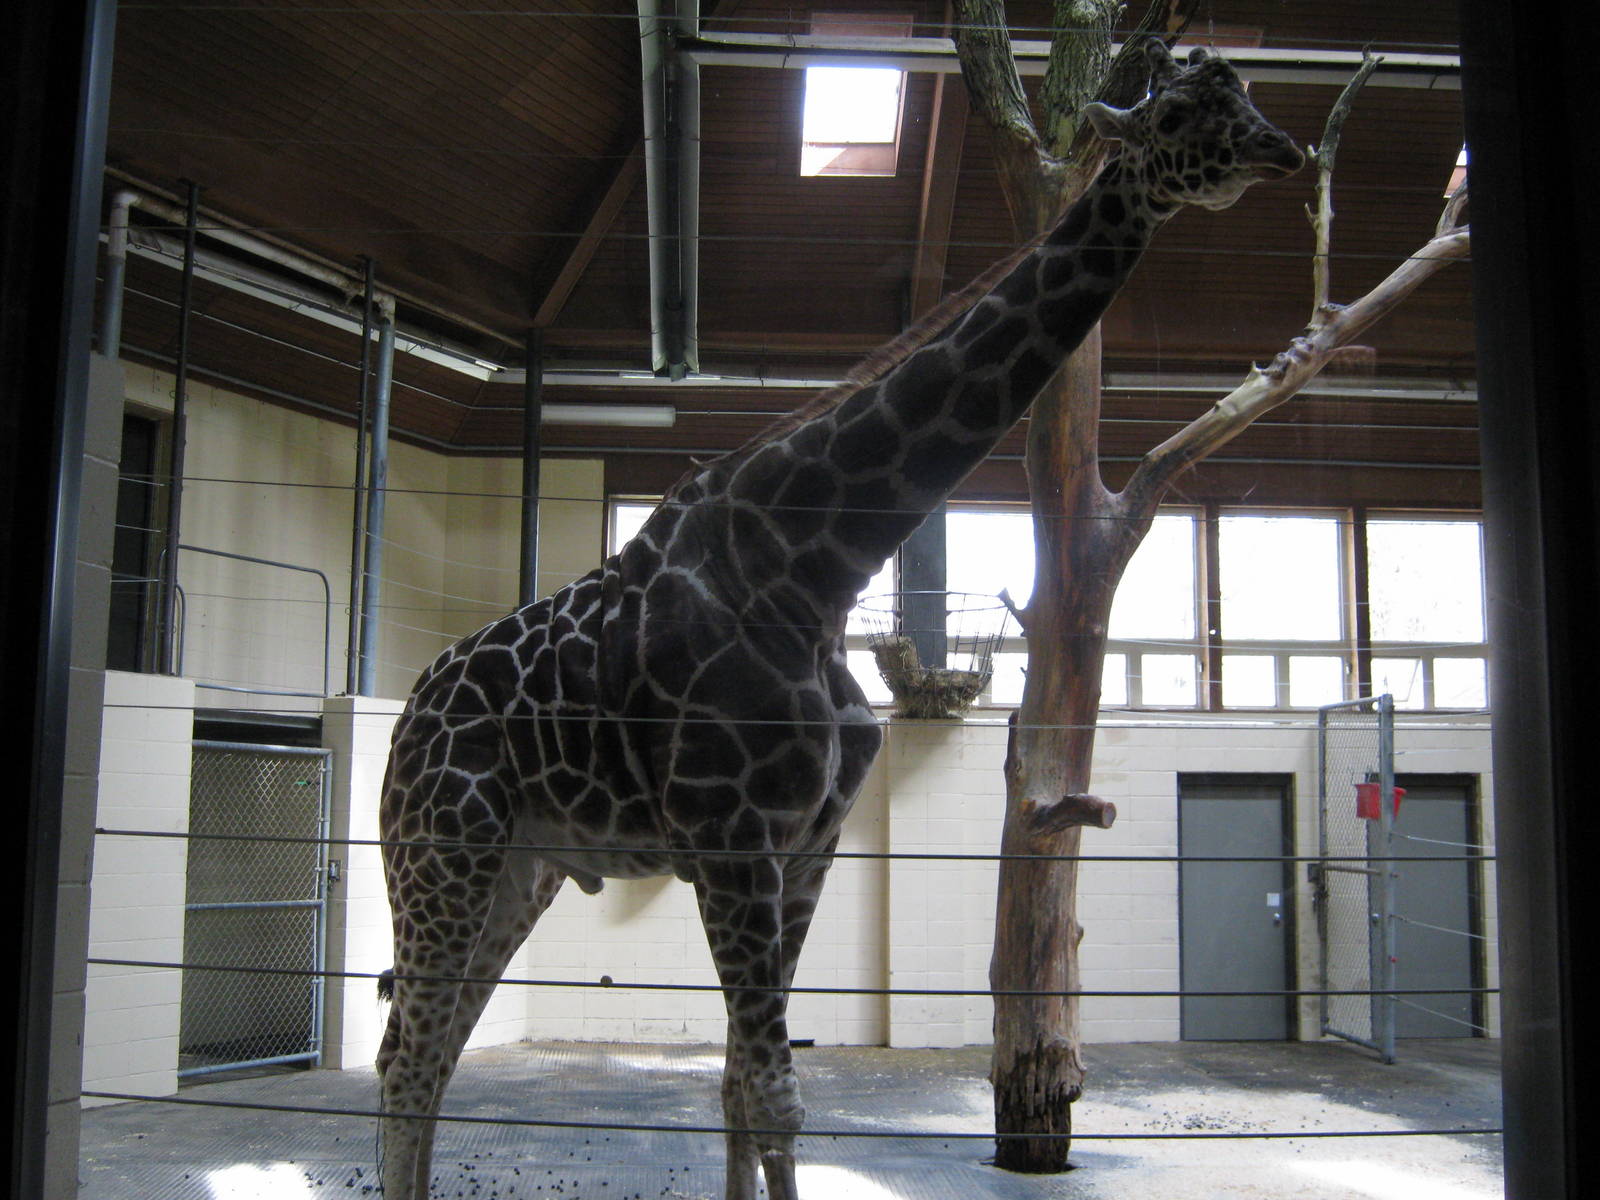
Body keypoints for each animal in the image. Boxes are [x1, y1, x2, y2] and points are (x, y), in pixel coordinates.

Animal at [376, 40, 1301, 1200]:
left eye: (1247, 94)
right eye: (1178, 112)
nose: (1286, 151)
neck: (813, 569)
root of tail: (408, 717)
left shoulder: (805, 846)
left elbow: (741, 1088)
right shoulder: (733, 842)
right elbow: (774, 1095)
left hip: (520, 865)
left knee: (434, 1049)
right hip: (439, 846)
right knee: (408, 1056)